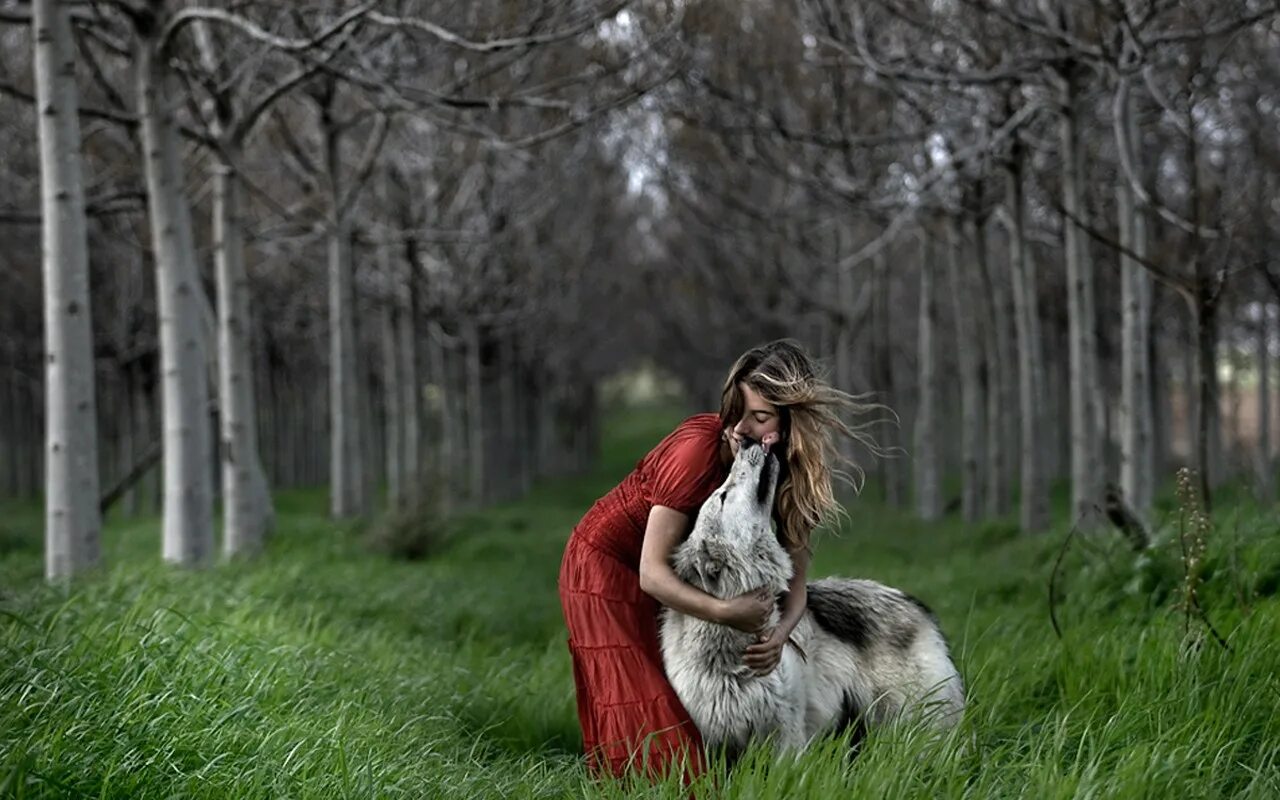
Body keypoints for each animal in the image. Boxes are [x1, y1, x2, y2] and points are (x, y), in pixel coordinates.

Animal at [660, 440, 962, 757]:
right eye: (723, 495)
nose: (748, 442)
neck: (731, 653)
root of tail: (917, 605)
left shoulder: (785, 735)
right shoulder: (714, 742)